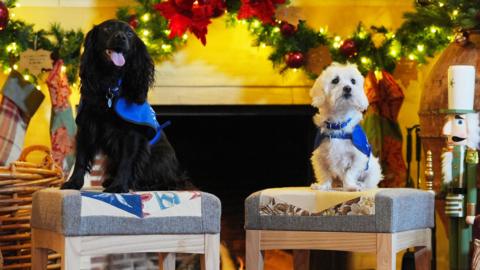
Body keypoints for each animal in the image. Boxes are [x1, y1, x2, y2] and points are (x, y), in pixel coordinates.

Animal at [60, 19, 188, 192]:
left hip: (160, 159)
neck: (110, 85)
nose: (121, 37)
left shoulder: (131, 134)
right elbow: (81, 157)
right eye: (107, 28)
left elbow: (126, 162)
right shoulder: (87, 125)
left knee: (172, 182)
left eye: (129, 33)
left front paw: (119, 186)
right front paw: (74, 183)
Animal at [312, 62, 382, 190]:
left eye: (353, 81)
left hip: (373, 170)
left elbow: (350, 172)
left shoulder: (359, 156)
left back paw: (360, 184)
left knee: (369, 182)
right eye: (335, 80)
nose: (348, 88)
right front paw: (323, 186)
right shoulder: (319, 156)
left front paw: (351, 186)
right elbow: (324, 173)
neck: (339, 124)